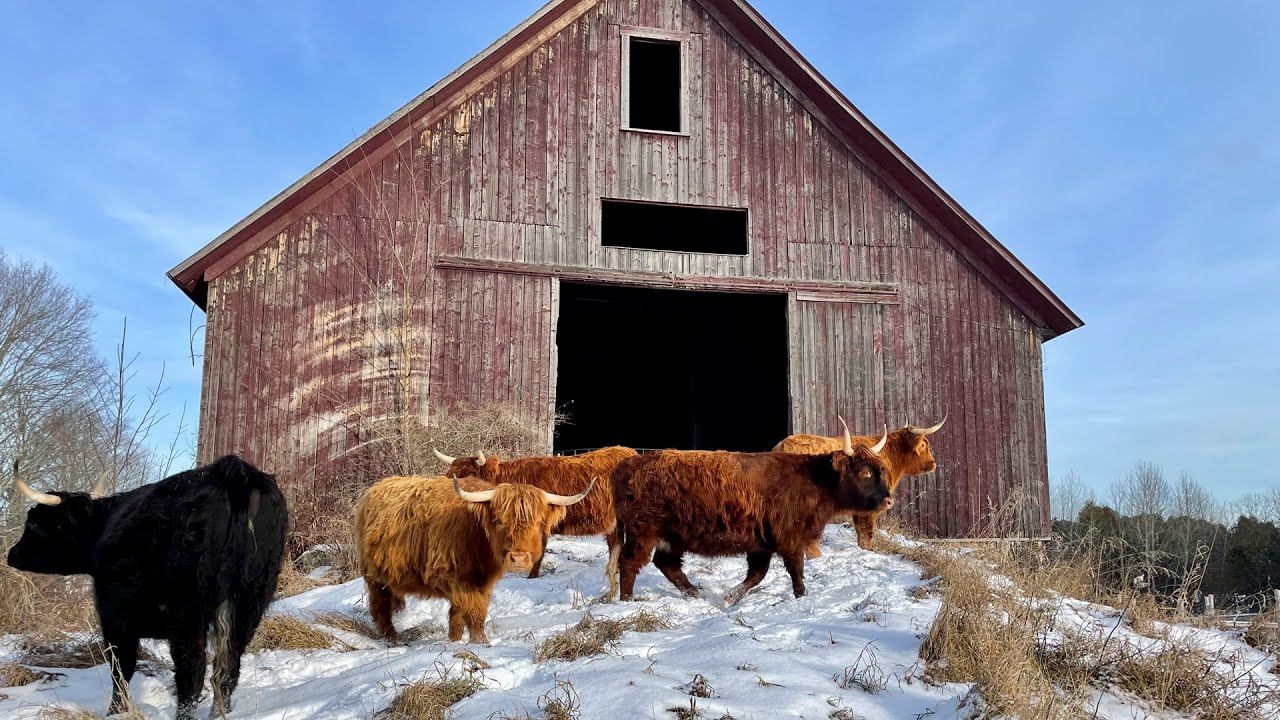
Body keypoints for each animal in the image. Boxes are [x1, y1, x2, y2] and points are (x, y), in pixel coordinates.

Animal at [6, 455, 287, 720]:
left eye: (33, 523)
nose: (11, 554)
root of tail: (232, 470)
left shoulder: (114, 617)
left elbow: (121, 667)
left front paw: (116, 712)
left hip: (188, 611)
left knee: (192, 667)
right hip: (250, 602)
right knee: (229, 665)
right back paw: (220, 712)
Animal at [354, 473, 594, 643]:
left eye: (537, 522)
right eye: (499, 520)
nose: (518, 558)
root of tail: (375, 488)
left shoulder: (481, 582)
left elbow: (462, 613)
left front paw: (455, 640)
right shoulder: (454, 577)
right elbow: (472, 610)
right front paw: (480, 642)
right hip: (374, 577)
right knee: (380, 605)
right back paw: (392, 637)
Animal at [612, 424, 892, 605]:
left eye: (880, 470)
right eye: (865, 472)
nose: (888, 500)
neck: (815, 481)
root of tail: (628, 465)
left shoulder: (762, 543)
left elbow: (756, 575)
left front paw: (730, 597)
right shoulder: (790, 538)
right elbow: (796, 571)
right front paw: (802, 597)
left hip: (671, 537)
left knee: (666, 564)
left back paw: (694, 594)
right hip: (643, 532)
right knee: (629, 563)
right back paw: (627, 600)